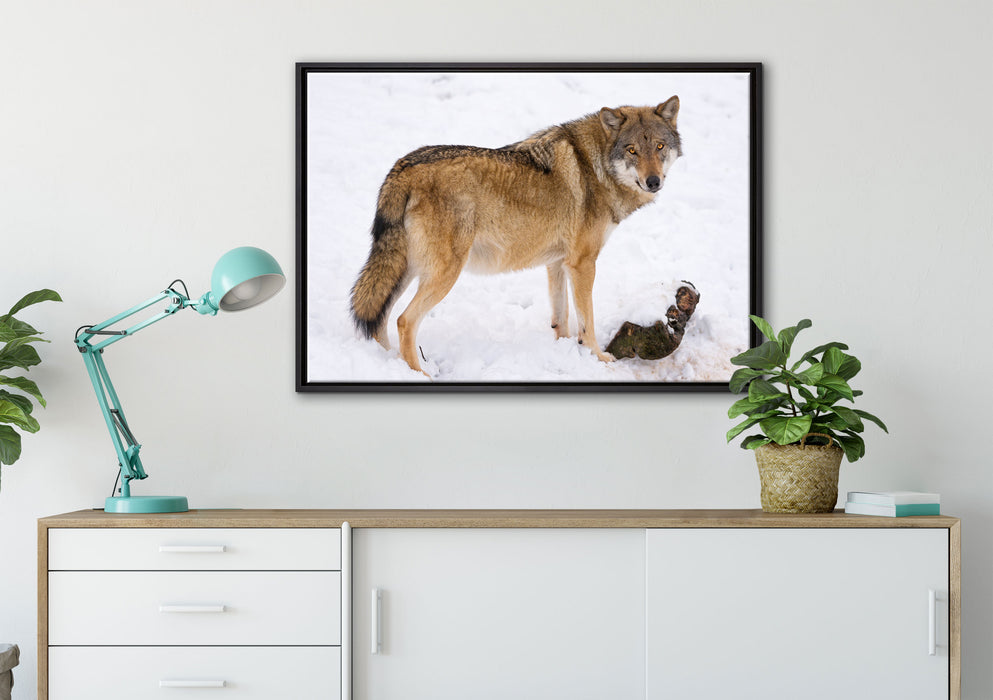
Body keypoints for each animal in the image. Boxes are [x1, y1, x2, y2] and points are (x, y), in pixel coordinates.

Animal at [350, 97, 682, 375]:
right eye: (632, 150)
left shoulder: (558, 263)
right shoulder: (582, 264)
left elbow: (561, 319)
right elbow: (587, 322)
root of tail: (402, 166)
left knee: (380, 320)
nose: (653, 181)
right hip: (443, 273)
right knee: (404, 321)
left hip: (406, 270)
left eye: (659, 147)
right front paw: (598, 359)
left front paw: (564, 354)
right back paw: (420, 374)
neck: (596, 165)